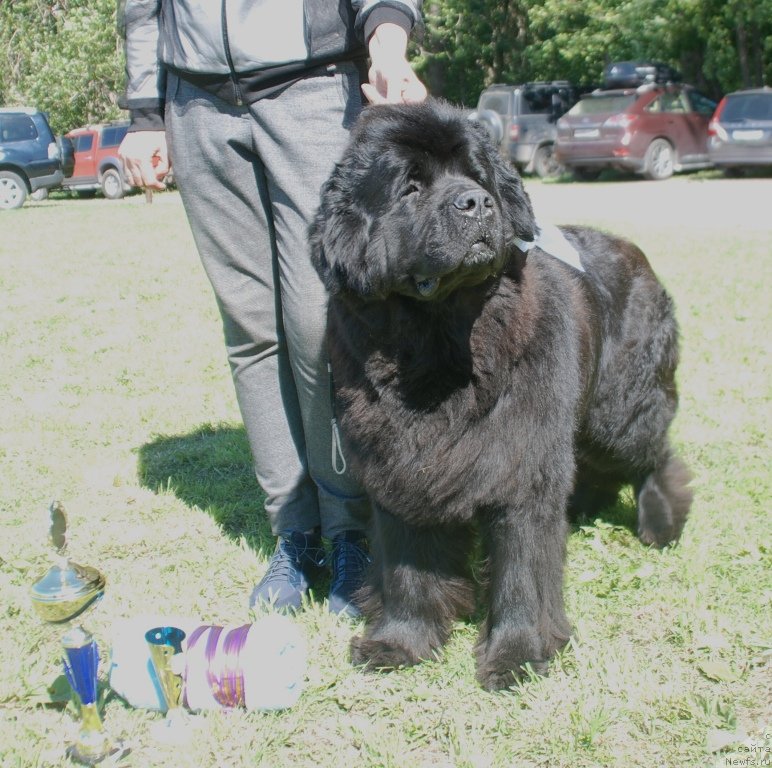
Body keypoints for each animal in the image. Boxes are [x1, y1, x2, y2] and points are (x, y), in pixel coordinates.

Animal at [310, 97, 692, 688]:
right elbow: (404, 565)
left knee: (654, 454)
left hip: (618, 412)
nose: (477, 203)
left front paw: (518, 656)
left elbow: (522, 569)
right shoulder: (397, 466)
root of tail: (632, 249)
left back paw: (660, 523)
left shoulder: (522, 462)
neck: (439, 346)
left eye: (477, 176)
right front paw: (400, 643)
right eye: (410, 187)